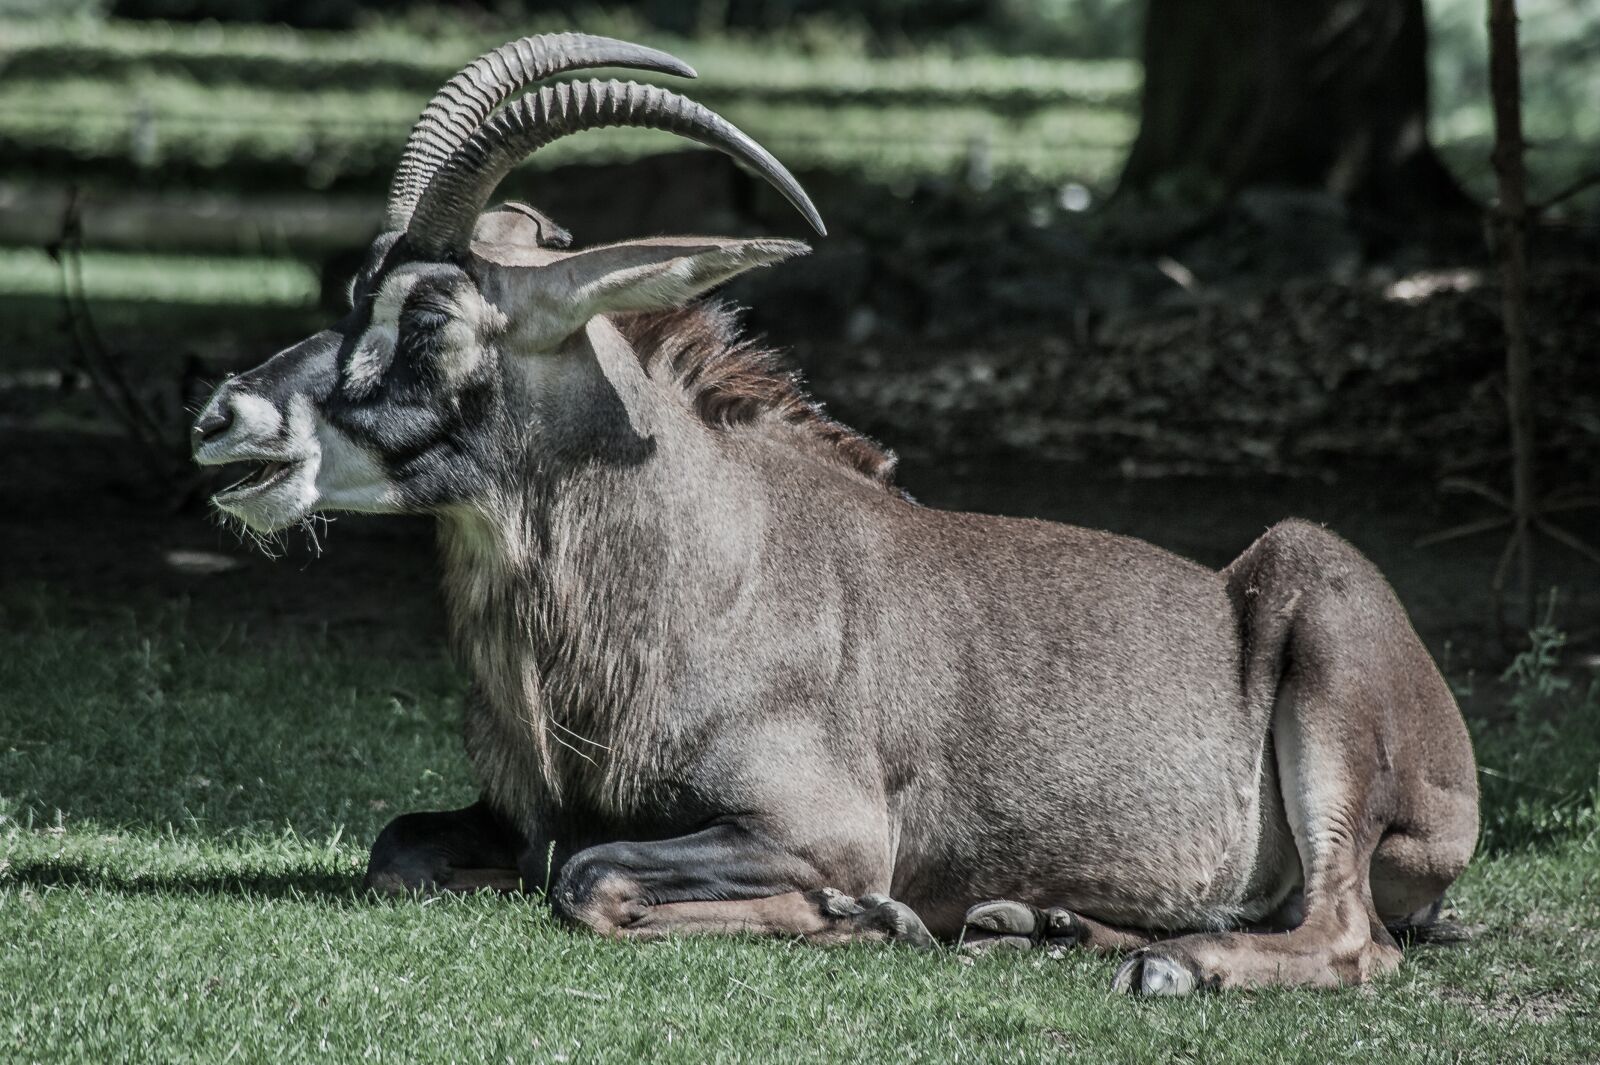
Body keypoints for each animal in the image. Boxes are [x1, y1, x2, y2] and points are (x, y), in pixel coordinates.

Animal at [191, 33, 1479, 995]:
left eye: (428, 318)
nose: (226, 413)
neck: (702, 570)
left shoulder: (820, 827)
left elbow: (589, 875)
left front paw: (870, 918)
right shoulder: (513, 814)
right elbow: (402, 850)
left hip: (1321, 634)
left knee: (1351, 936)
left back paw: (1175, 964)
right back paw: (1048, 924)